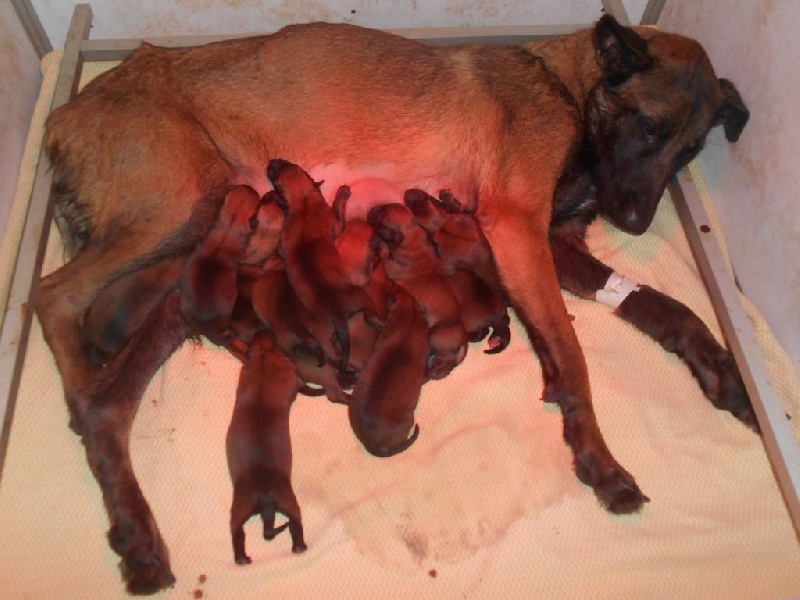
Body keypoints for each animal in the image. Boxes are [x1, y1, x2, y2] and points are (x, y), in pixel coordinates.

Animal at [228, 330, 312, 564]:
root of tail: (264, 496)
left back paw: (242, 559)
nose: (262, 330)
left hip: (239, 508)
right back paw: (300, 546)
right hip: (289, 501)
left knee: (237, 534)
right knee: (296, 524)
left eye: (258, 337)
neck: (265, 355)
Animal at [368, 202, 468, 380]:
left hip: (435, 335)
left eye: (382, 215)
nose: (371, 209)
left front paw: (382, 246)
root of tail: (464, 340)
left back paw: (431, 369)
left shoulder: (391, 267)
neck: (412, 237)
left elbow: (385, 255)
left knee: (446, 361)